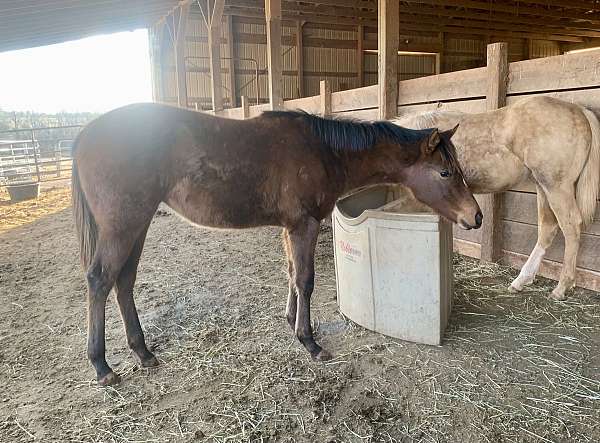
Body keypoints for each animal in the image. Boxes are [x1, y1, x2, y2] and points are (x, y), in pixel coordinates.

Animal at [71, 103, 482, 386]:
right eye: (445, 172)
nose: (475, 217)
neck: (324, 151)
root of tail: (85, 134)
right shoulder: (304, 224)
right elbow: (305, 279)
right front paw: (310, 342)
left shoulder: (290, 226)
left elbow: (290, 273)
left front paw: (290, 321)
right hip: (122, 227)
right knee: (100, 281)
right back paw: (102, 366)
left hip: (136, 226)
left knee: (124, 282)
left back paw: (143, 352)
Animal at [394, 95, 600, 300]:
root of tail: (579, 110)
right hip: (543, 187)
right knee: (548, 228)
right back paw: (521, 281)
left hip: (556, 187)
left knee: (571, 227)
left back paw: (561, 288)